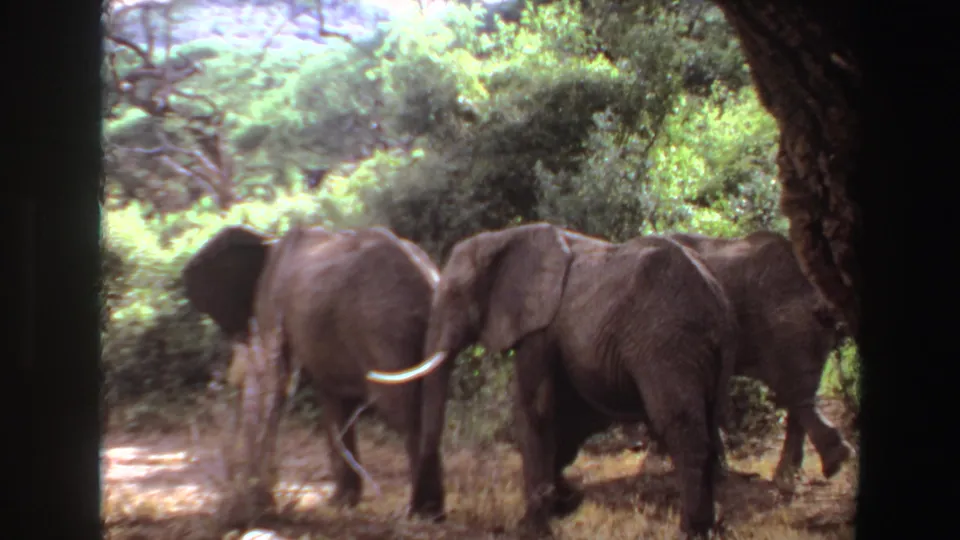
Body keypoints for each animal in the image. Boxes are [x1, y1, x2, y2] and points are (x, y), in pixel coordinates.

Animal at [181, 223, 443, 527]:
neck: (268, 240)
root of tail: (424, 275)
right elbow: (335, 404)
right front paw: (341, 503)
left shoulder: (273, 304)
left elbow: (276, 386)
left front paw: (263, 504)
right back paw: (433, 513)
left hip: (384, 327)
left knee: (403, 410)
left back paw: (419, 513)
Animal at [365, 222, 738, 538]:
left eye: (456, 294)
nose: (426, 513)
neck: (505, 237)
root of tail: (714, 295)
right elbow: (570, 421)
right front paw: (566, 503)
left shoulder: (539, 329)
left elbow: (535, 409)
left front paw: (531, 526)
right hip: (706, 351)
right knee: (711, 423)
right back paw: (712, 527)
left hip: (668, 343)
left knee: (680, 426)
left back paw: (691, 530)